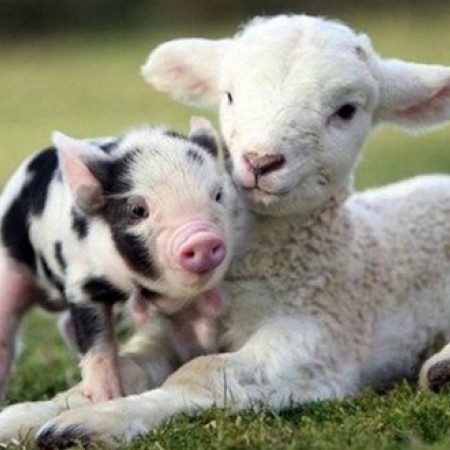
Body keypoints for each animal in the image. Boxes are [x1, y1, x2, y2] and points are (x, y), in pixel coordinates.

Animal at [0, 117, 237, 404]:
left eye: (218, 195)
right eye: (138, 210)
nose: (202, 238)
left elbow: (192, 335)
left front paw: (196, 360)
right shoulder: (81, 283)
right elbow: (97, 342)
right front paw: (105, 398)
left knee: (66, 324)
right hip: (9, 265)